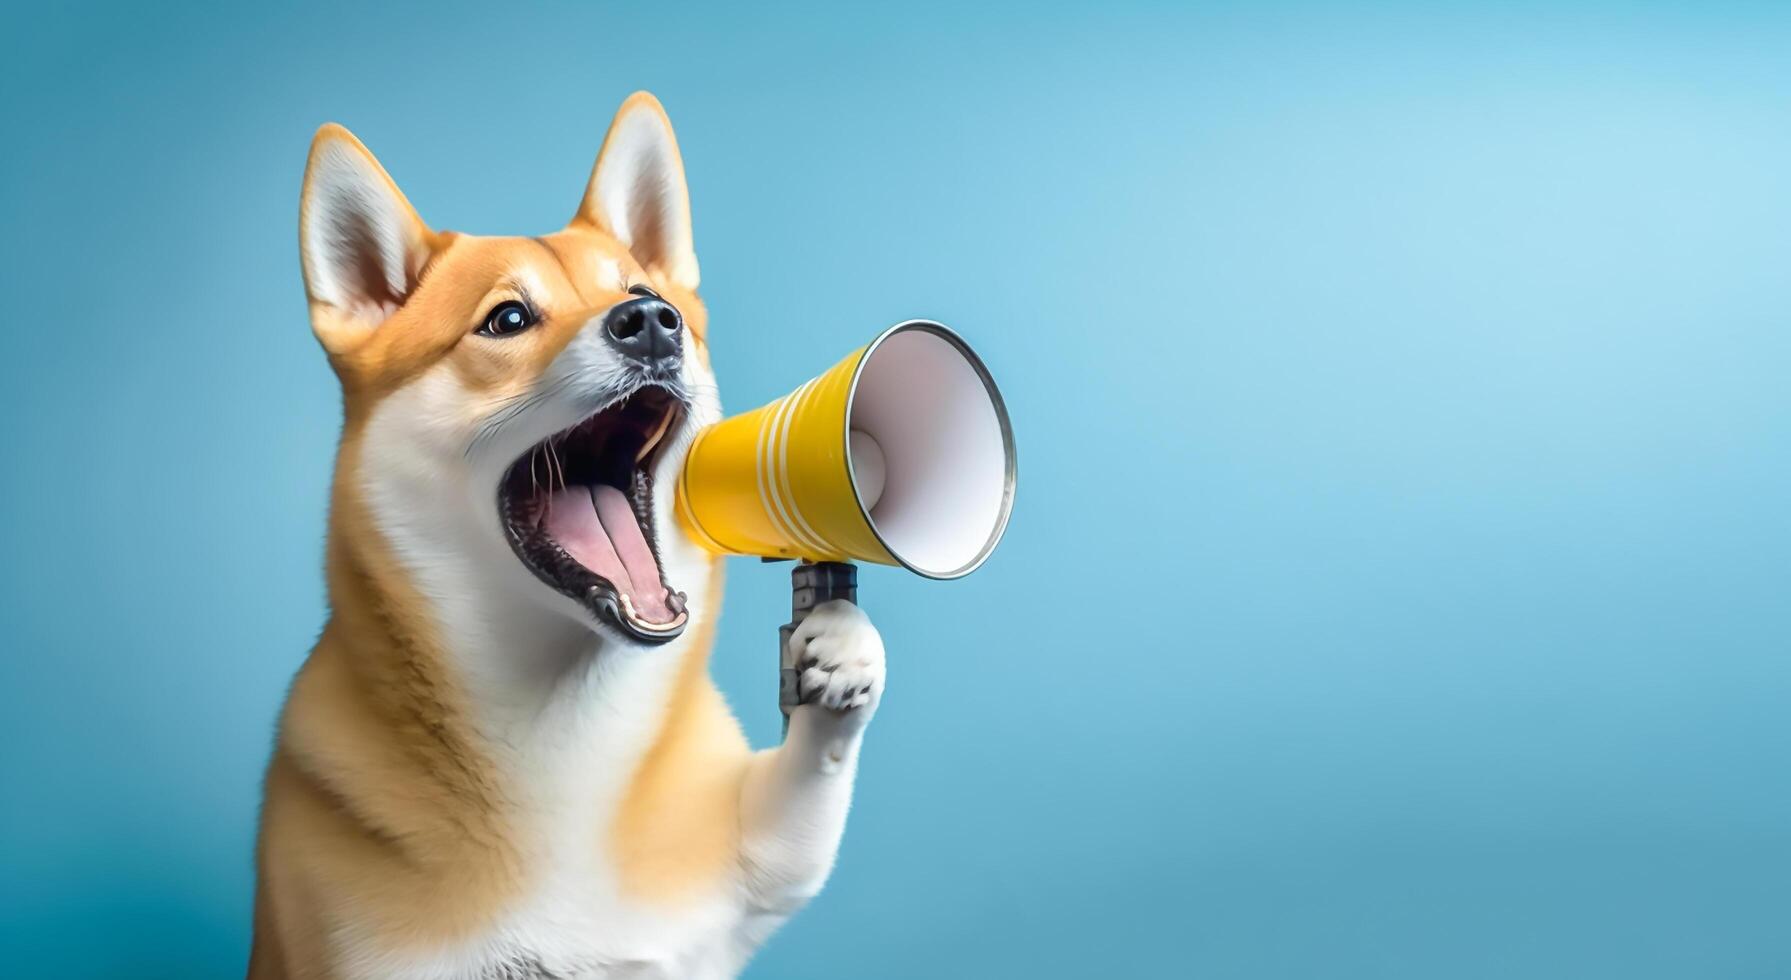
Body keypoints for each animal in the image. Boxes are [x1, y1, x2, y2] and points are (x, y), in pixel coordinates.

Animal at [252, 92, 888, 980]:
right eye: (507, 318)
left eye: (643, 291)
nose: (650, 322)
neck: (560, 724)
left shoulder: (747, 870)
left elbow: (798, 807)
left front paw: (844, 646)